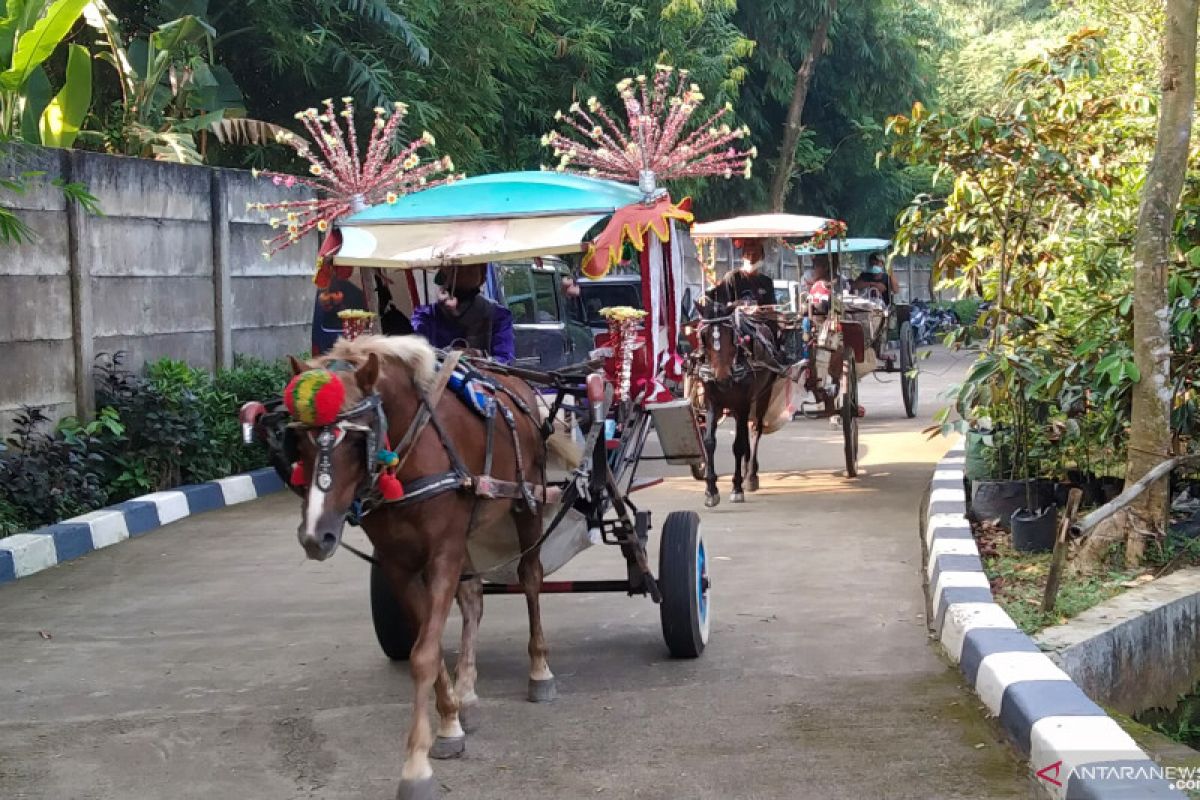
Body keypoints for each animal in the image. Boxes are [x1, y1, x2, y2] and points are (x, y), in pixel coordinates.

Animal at [285, 335, 576, 796]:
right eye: (301, 443)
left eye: (356, 440)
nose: (317, 536)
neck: (410, 450)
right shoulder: (397, 564)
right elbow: (431, 643)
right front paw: (451, 717)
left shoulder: (443, 553)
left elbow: (423, 653)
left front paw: (416, 765)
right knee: (473, 598)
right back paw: (468, 691)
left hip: (526, 501)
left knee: (531, 579)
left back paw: (539, 670)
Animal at [696, 307, 777, 506]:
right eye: (705, 336)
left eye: (730, 334)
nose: (722, 378)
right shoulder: (712, 403)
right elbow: (709, 442)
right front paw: (711, 490)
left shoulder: (742, 403)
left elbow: (738, 445)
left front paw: (737, 487)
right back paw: (747, 468)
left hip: (763, 395)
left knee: (756, 430)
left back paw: (751, 475)